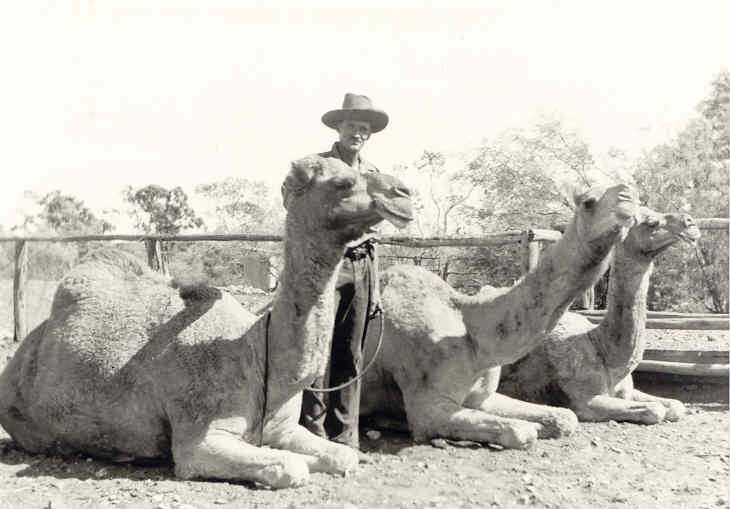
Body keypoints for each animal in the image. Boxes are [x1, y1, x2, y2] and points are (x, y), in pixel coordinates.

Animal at [0, 156, 413, 489]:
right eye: (342, 182)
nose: (404, 193)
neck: (253, 353)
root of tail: (15, 362)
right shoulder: (198, 439)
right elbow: (290, 467)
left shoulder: (279, 427)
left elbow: (344, 456)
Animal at [359, 184, 639, 449]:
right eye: (588, 202)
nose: (628, 196)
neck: (472, 333)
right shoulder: (428, 406)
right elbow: (521, 431)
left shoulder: (483, 396)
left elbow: (565, 417)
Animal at [496, 208, 701, 424]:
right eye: (651, 222)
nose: (690, 223)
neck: (603, 350)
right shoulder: (585, 400)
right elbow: (655, 410)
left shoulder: (627, 390)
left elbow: (676, 405)